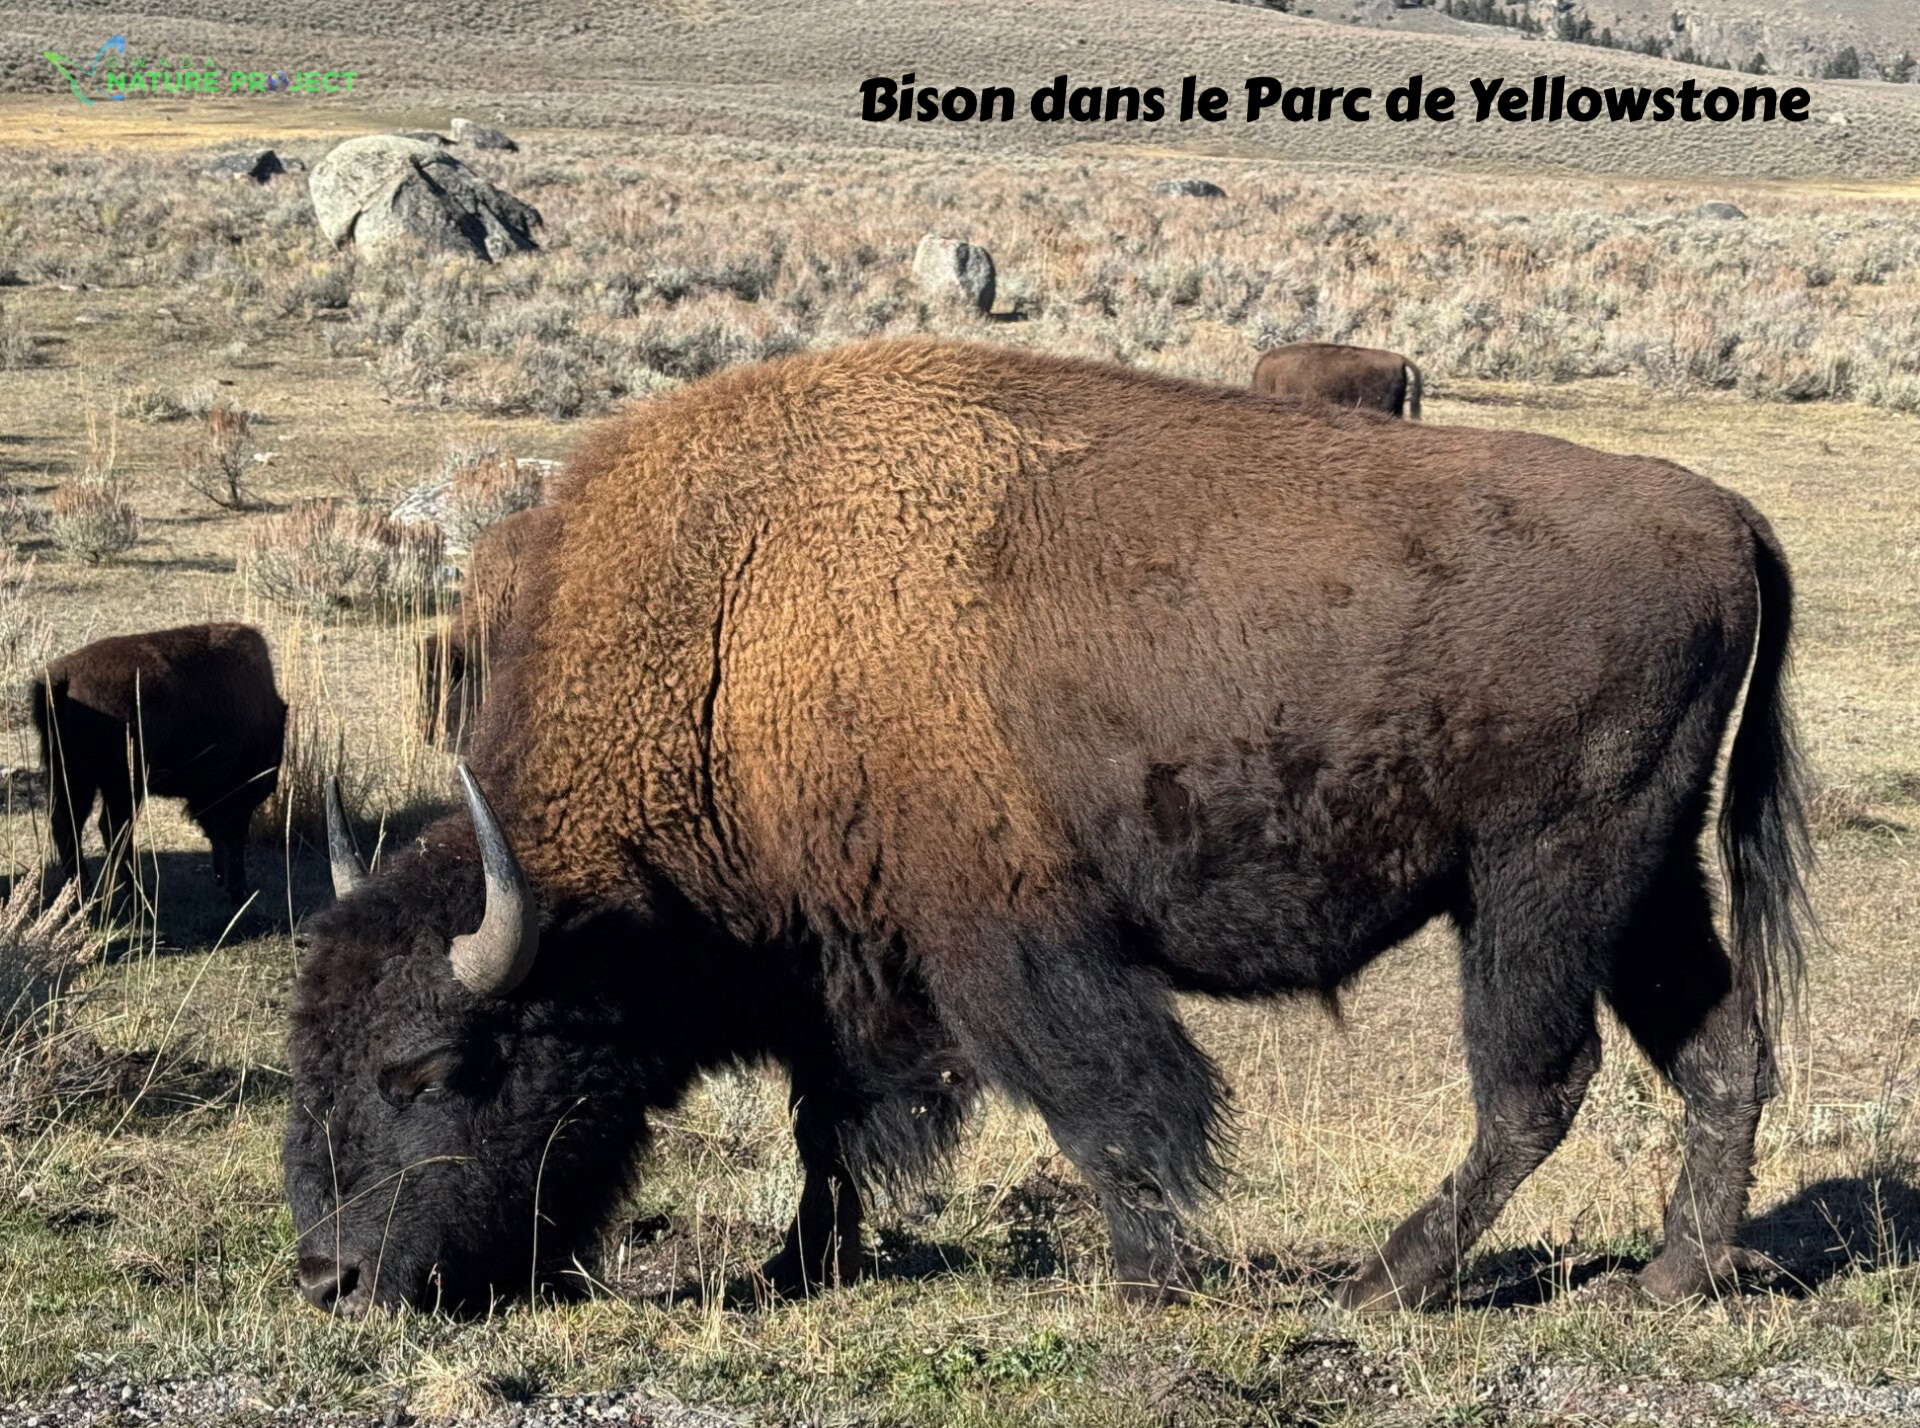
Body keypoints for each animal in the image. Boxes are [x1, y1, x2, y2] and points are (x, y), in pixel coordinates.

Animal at [35, 622, 287, 904]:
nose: (225, 881)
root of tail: (65, 678)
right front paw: (239, 889)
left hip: (73, 776)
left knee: (67, 824)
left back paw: (85, 894)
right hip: (124, 786)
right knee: (112, 829)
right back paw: (139, 897)